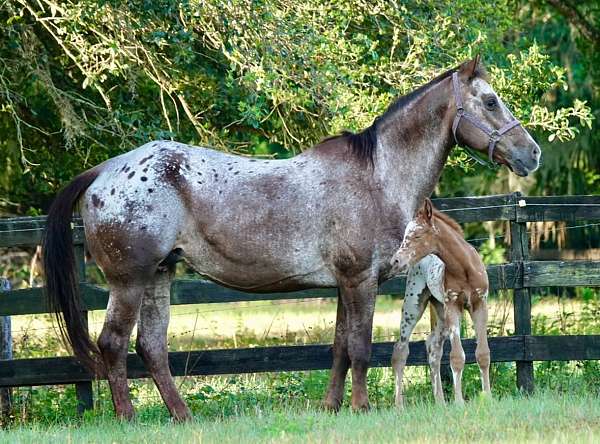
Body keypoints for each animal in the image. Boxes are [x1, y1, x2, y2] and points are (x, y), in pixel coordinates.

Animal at [390, 199, 492, 408]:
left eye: (417, 235)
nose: (395, 261)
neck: (464, 268)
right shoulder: (453, 305)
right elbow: (457, 357)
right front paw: (459, 402)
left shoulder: (480, 303)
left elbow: (483, 354)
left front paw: (488, 397)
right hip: (414, 303)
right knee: (400, 350)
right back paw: (399, 406)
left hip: (440, 311)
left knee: (433, 346)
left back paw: (440, 402)